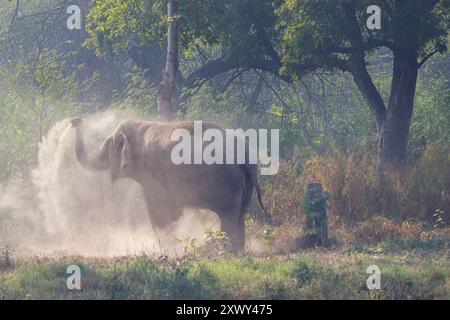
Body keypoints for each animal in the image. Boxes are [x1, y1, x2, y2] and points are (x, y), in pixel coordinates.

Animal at [70, 117, 268, 252]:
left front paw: (167, 250)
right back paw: (238, 253)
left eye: (107, 145)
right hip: (245, 185)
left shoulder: (152, 176)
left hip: (228, 183)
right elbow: (173, 212)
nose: (75, 120)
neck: (142, 124)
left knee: (229, 217)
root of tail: (246, 155)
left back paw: (226, 252)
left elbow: (157, 212)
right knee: (240, 216)